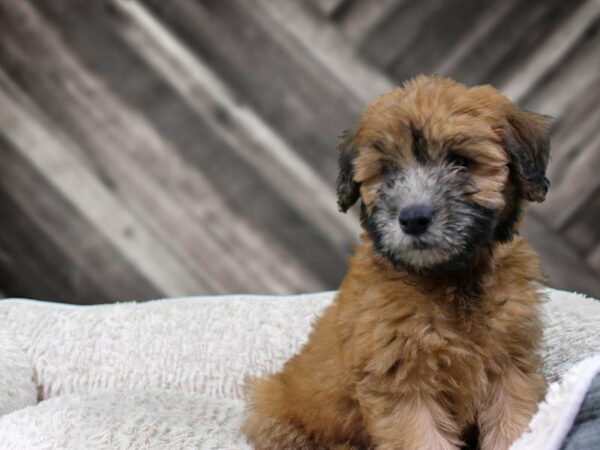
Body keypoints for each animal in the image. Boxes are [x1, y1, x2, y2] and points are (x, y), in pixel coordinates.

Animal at [243, 76, 548, 450]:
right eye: (386, 171)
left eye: (461, 161)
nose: (413, 218)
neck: (450, 278)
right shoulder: (401, 382)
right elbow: (421, 438)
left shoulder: (510, 365)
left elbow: (513, 422)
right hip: (277, 412)